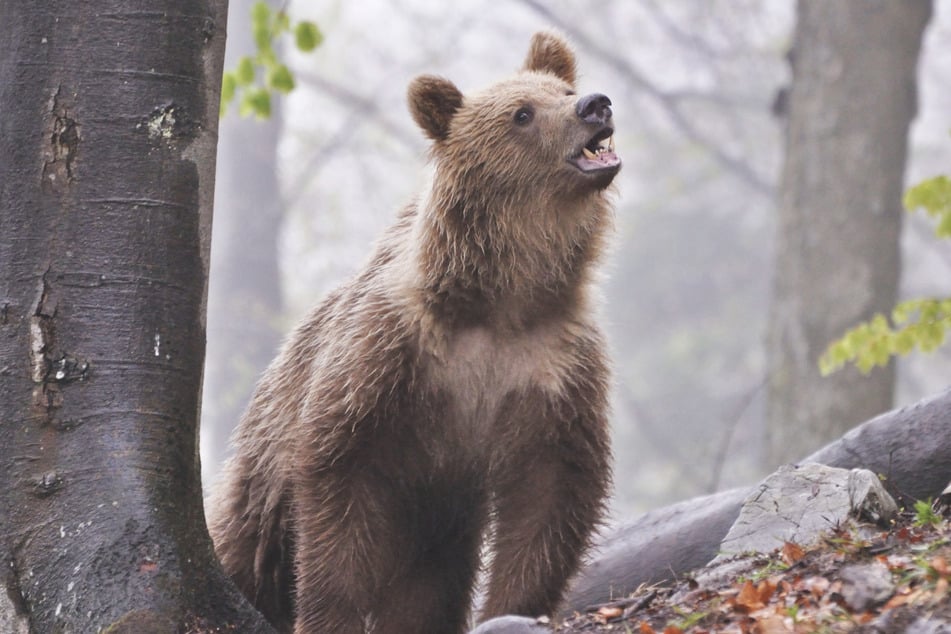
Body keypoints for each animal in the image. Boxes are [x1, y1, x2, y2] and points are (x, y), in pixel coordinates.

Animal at [209, 30, 620, 632]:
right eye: (522, 113)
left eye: (563, 90)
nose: (595, 105)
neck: (502, 300)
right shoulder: (387, 357)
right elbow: (338, 485)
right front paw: (329, 613)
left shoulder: (552, 365)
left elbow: (552, 492)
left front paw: (510, 609)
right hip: (265, 471)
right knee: (246, 546)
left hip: (436, 529)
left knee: (427, 590)